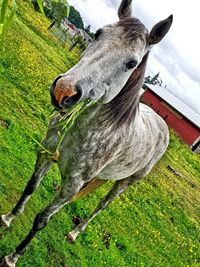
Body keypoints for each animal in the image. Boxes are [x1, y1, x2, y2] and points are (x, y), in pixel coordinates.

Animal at [0, 1, 173, 266]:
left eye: (131, 63)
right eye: (99, 33)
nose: (64, 91)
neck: (83, 127)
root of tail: (161, 124)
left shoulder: (73, 184)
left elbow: (42, 219)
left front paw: (13, 256)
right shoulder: (46, 153)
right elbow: (30, 187)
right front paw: (8, 219)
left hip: (126, 182)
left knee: (101, 205)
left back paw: (74, 233)